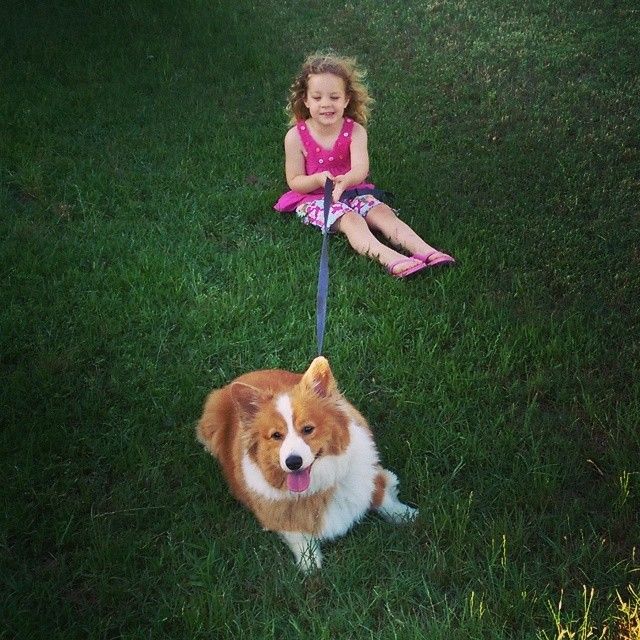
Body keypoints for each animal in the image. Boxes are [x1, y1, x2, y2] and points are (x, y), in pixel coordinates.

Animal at [198, 358, 418, 572]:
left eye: (308, 429)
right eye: (276, 435)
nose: (293, 462)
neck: (320, 483)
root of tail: (239, 378)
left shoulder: (367, 478)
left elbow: (381, 496)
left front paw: (407, 515)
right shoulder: (279, 515)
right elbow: (298, 534)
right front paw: (310, 563)